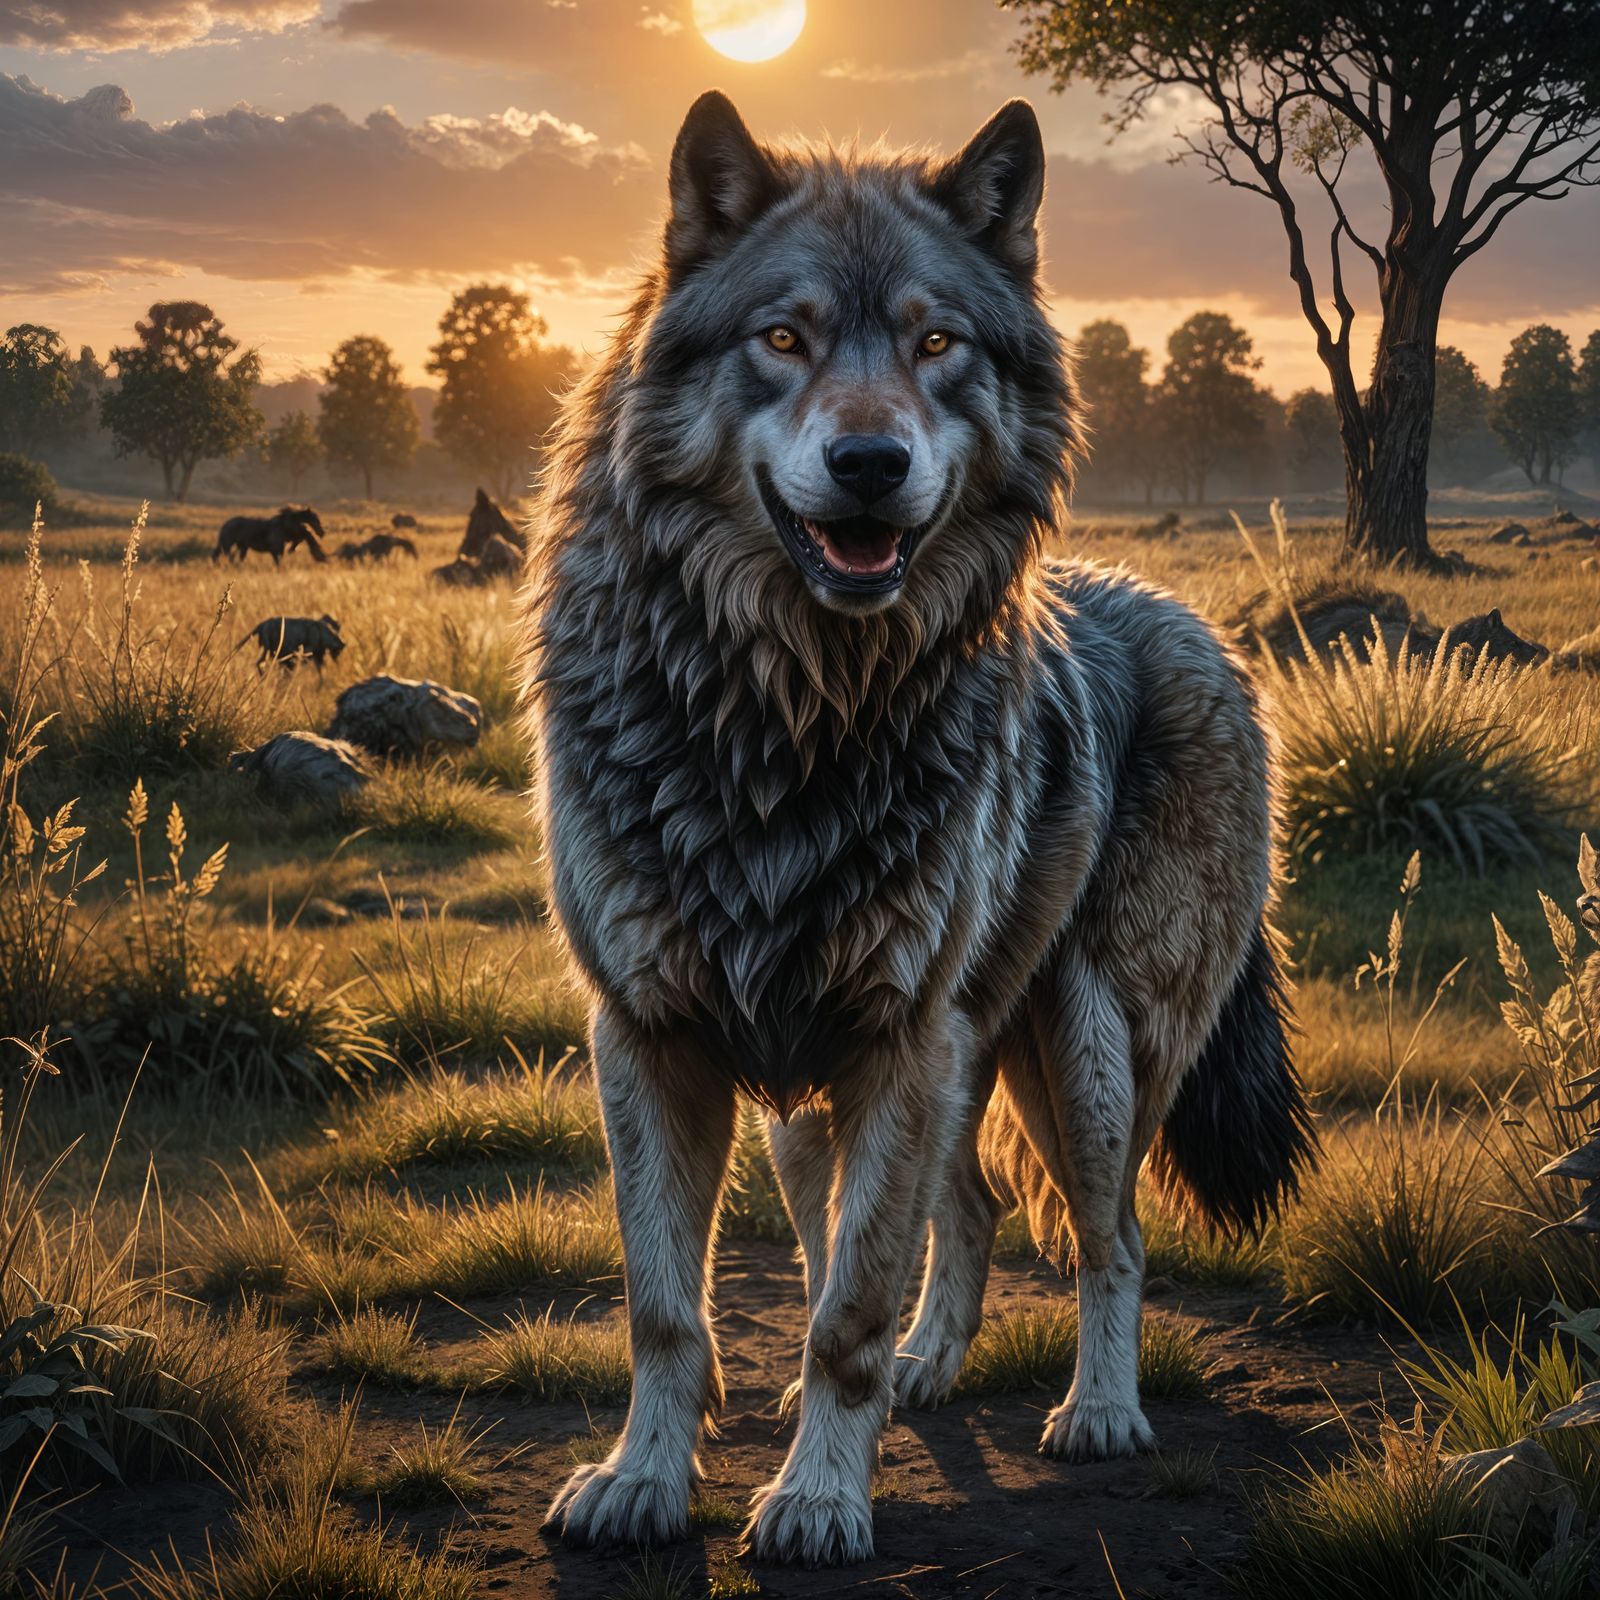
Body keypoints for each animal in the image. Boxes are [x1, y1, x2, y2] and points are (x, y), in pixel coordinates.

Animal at [525, 91, 1314, 1567]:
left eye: (936, 344)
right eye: (784, 338)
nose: (870, 462)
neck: (784, 725)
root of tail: (1193, 622)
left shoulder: (899, 1038)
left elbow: (842, 1310)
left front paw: (818, 1501)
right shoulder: (654, 1035)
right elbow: (671, 1307)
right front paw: (641, 1482)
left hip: (1083, 1050)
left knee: (1110, 1238)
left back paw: (1097, 1414)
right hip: (856, 1097)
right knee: (976, 1210)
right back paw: (926, 1372)